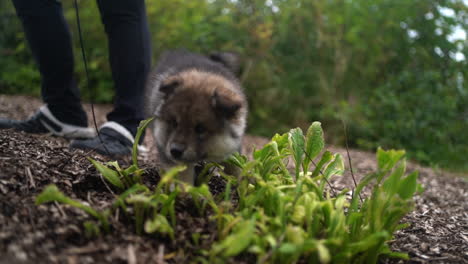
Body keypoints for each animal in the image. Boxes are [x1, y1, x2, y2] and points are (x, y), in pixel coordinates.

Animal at [145, 50, 249, 185]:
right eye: (174, 123)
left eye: (200, 129)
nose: (175, 151)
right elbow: (182, 177)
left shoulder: (232, 149)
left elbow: (236, 169)